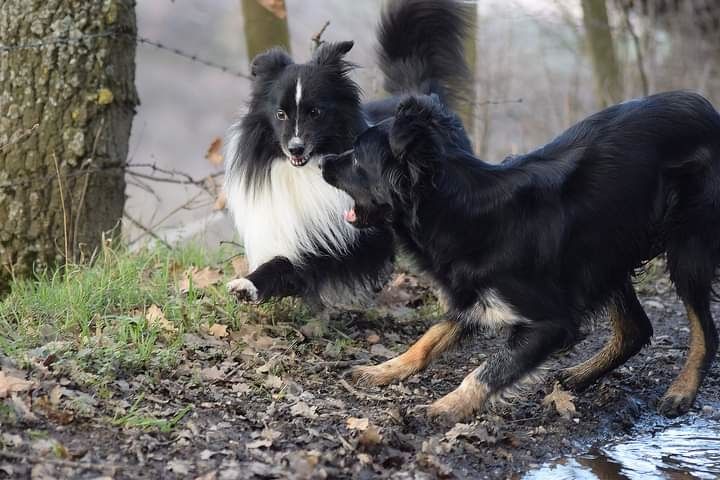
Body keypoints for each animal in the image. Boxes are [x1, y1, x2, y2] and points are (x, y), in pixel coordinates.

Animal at [225, 0, 472, 308]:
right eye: (280, 114)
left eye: (316, 112)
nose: (295, 148)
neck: (305, 171)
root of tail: (422, 97)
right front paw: (248, 284)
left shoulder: (347, 238)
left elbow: (297, 262)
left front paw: (254, 283)